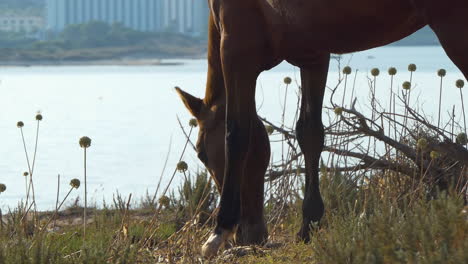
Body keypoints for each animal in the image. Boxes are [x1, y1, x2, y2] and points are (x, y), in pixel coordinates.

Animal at [176, 0, 468, 258]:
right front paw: (309, 224)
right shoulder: (313, 55)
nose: (252, 234)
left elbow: (237, 133)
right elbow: (310, 133)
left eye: (201, 153)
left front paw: (219, 231)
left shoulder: (237, 49)